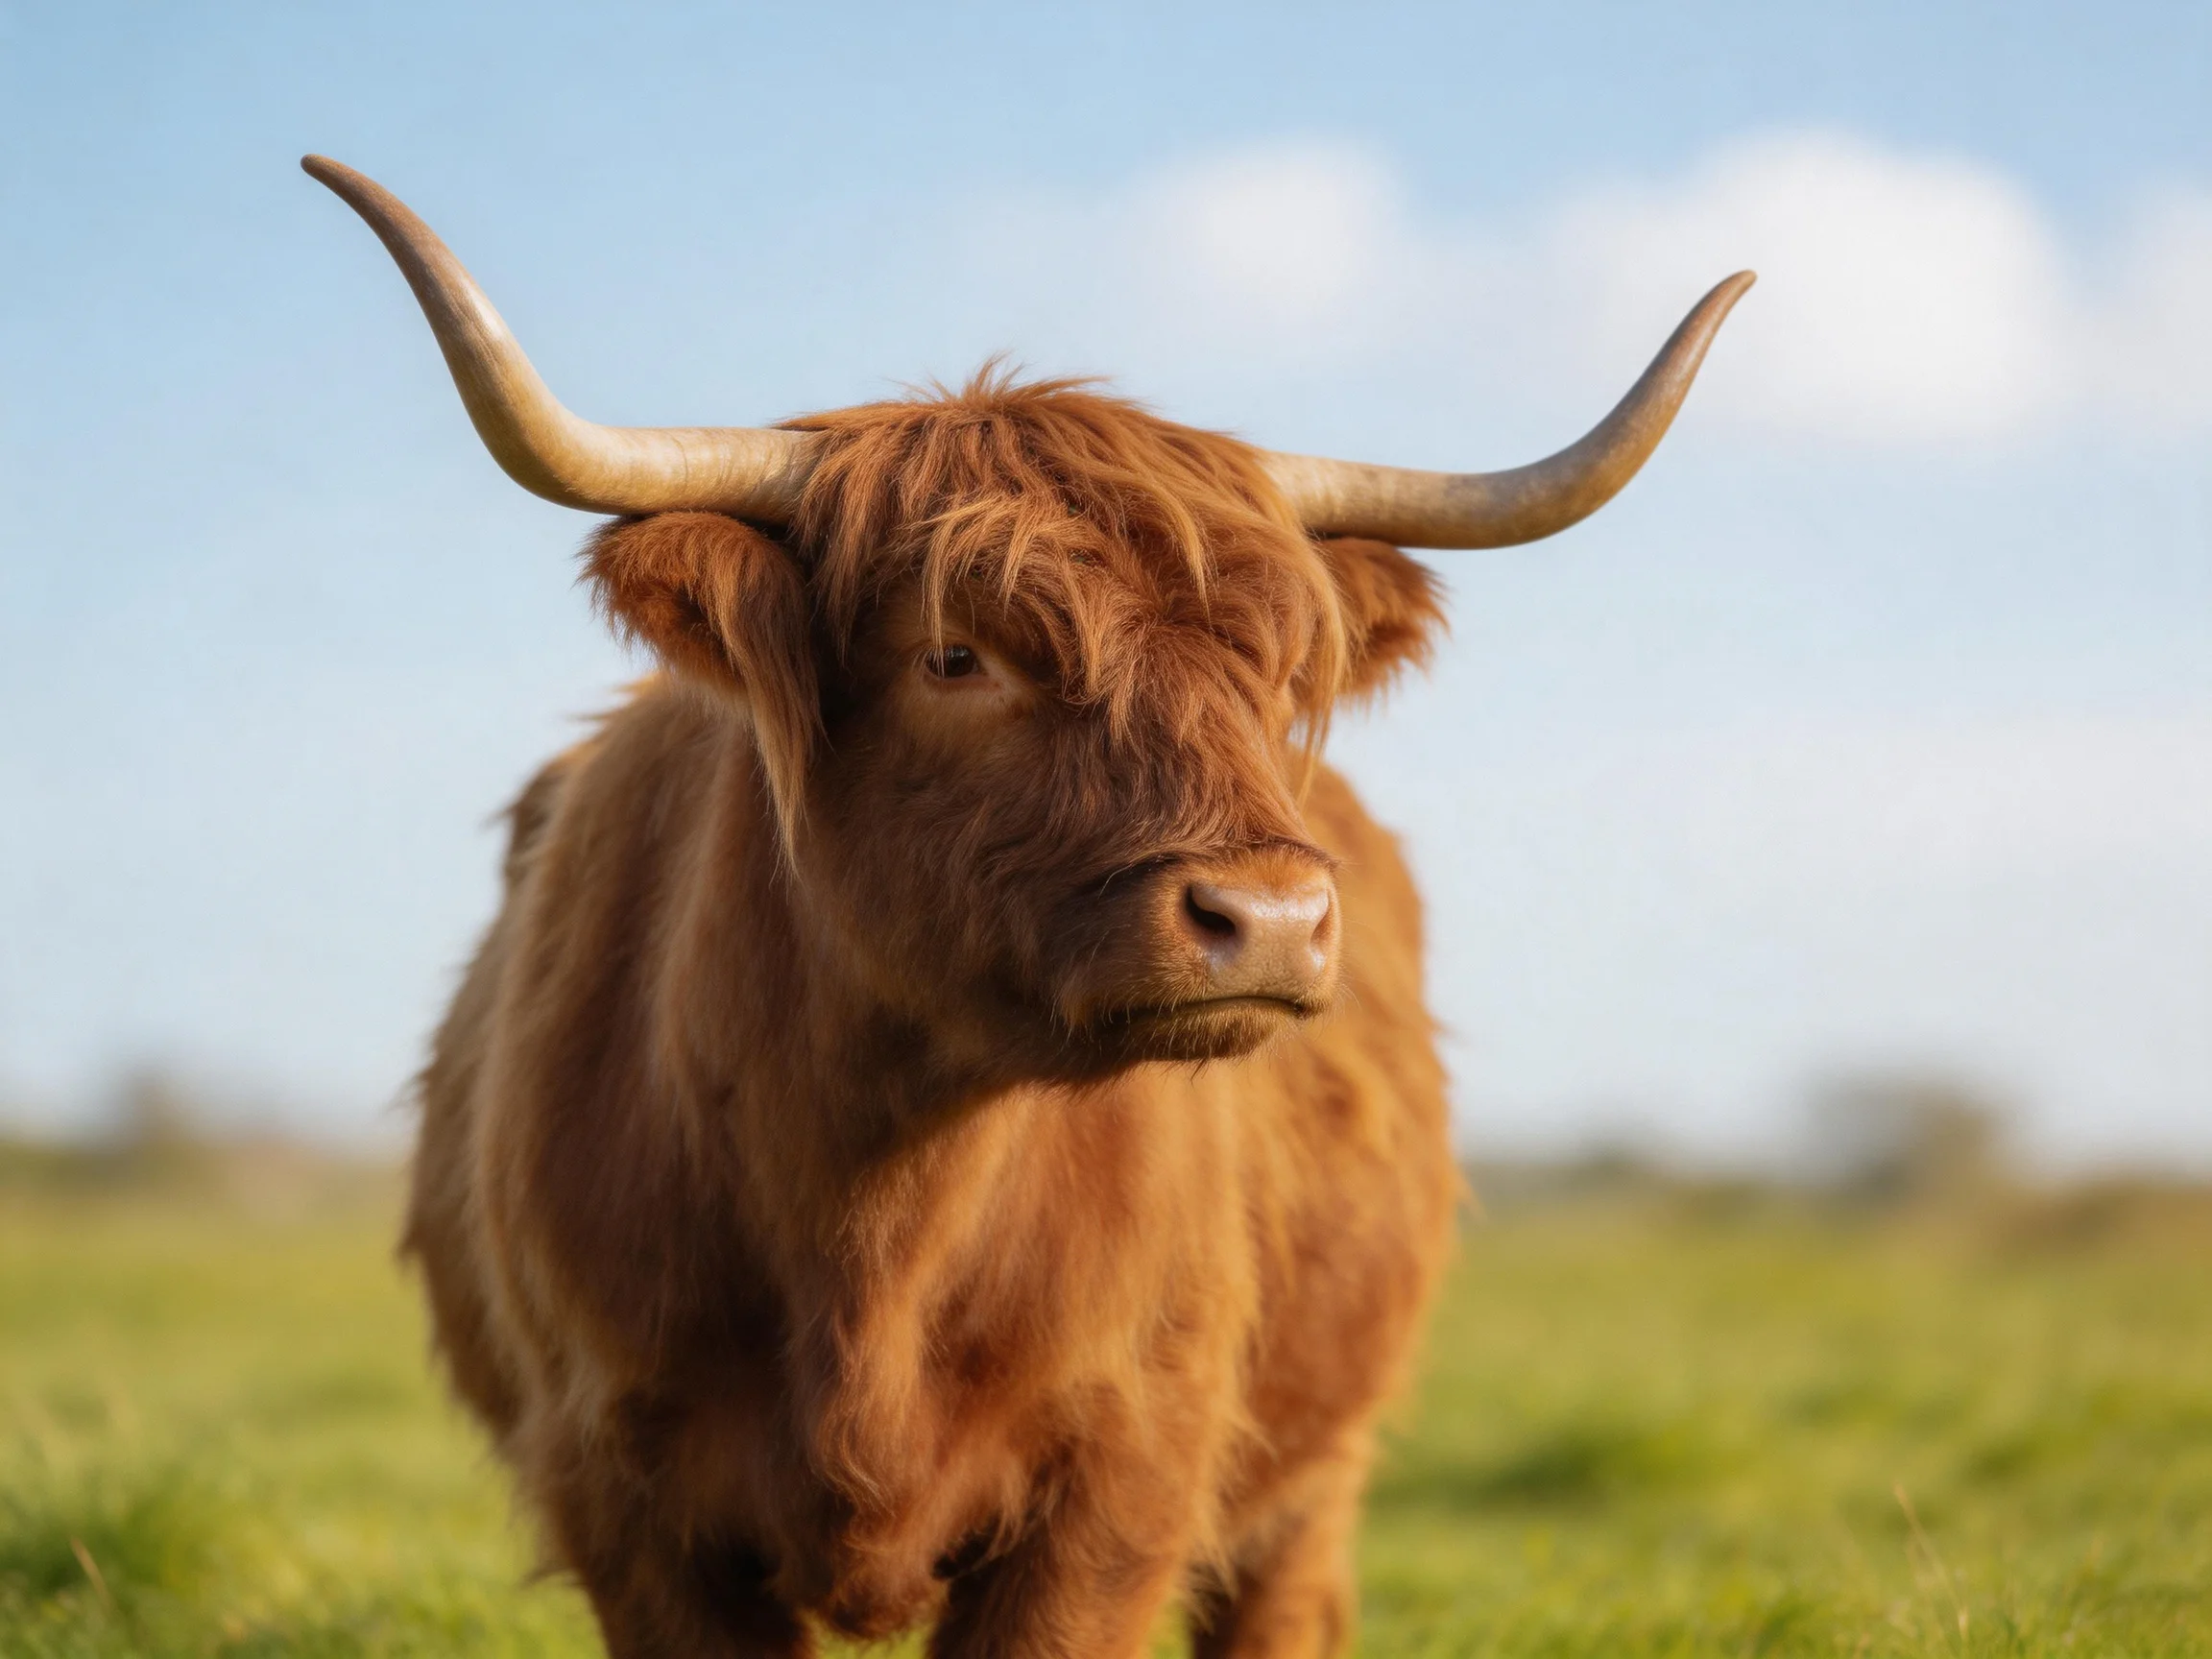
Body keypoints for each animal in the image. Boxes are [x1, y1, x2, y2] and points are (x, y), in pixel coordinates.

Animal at [304, 155, 1748, 1659]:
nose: (1269, 917)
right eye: (957, 653)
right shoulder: (628, 1497)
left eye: (1275, 670)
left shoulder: (1119, 1480)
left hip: (1316, 1475)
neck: (870, 1208)